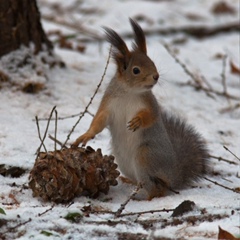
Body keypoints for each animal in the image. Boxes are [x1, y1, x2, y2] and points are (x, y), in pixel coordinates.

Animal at [72, 17, 209, 200]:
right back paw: (129, 182)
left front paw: (138, 121)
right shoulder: (108, 104)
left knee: (159, 189)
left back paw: (148, 197)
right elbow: (99, 121)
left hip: (146, 155)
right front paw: (86, 135)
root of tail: (175, 175)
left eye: (153, 63)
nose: (156, 76)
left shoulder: (150, 104)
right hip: (123, 159)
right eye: (135, 70)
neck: (129, 92)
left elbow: (151, 116)